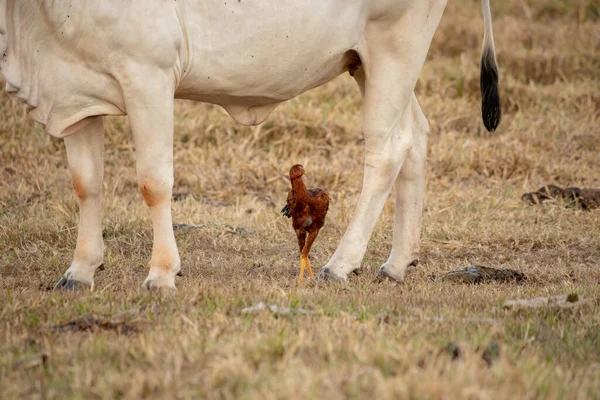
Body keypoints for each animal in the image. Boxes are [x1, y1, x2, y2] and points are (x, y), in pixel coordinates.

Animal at [0, 0, 502, 288]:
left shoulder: (148, 75)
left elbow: (153, 183)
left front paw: (161, 272)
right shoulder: (77, 95)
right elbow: (86, 185)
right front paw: (80, 270)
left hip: (394, 49)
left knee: (388, 149)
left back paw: (341, 263)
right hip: (367, 62)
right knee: (415, 137)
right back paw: (398, 262)